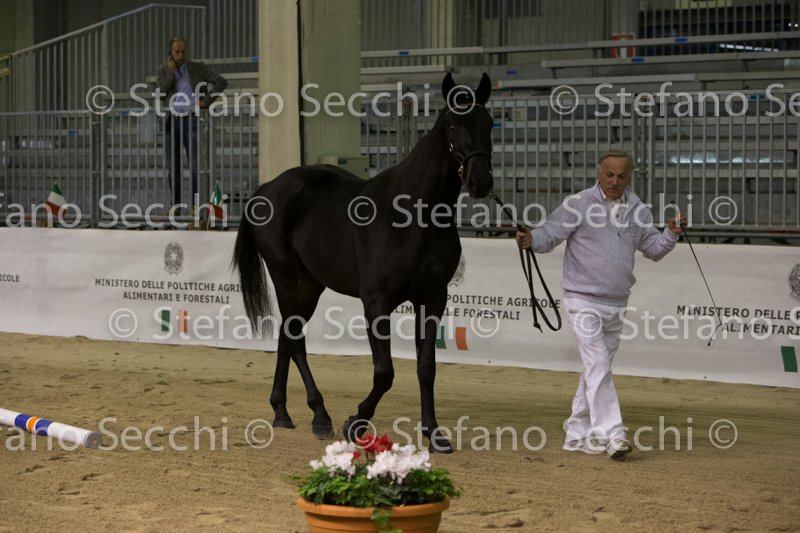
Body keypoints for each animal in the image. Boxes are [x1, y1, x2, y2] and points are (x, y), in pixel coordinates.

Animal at [233, 73, 494, 453]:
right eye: (452, 124)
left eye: (489, 123)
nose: (480, 181)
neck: (415, 215)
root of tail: (266, 189)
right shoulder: (376, 303)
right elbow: (384, 372)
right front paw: (354, 423)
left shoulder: (433, 298)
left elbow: (427, 367)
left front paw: (434, 435)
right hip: (286, 277)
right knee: (295, 339)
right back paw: (321, 415)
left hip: (310, 284)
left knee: (287, 334)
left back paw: (282, 412)